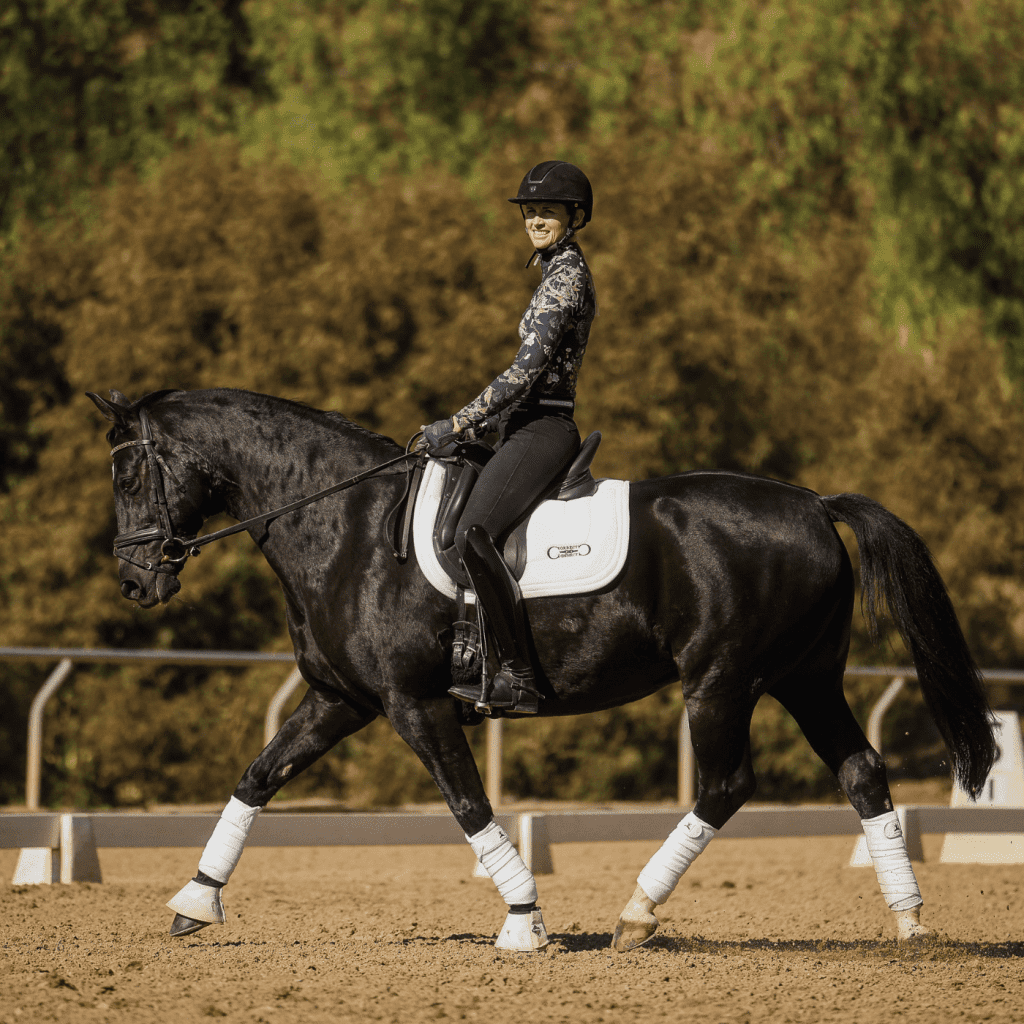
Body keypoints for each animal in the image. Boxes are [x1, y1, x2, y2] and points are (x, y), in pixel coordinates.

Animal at [87, 386, 996, 951]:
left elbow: (468, 804)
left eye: (128, 470)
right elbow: (258, 776)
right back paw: (910, 923)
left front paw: (525, 922)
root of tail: (812, 504)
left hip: (723, 681)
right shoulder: (342, 697)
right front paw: (195, 901)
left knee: (727, 785)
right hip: (804, 679)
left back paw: (637, 914)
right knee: (862, 771)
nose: (134, 582)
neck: (344, 523)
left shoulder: (414, 703)